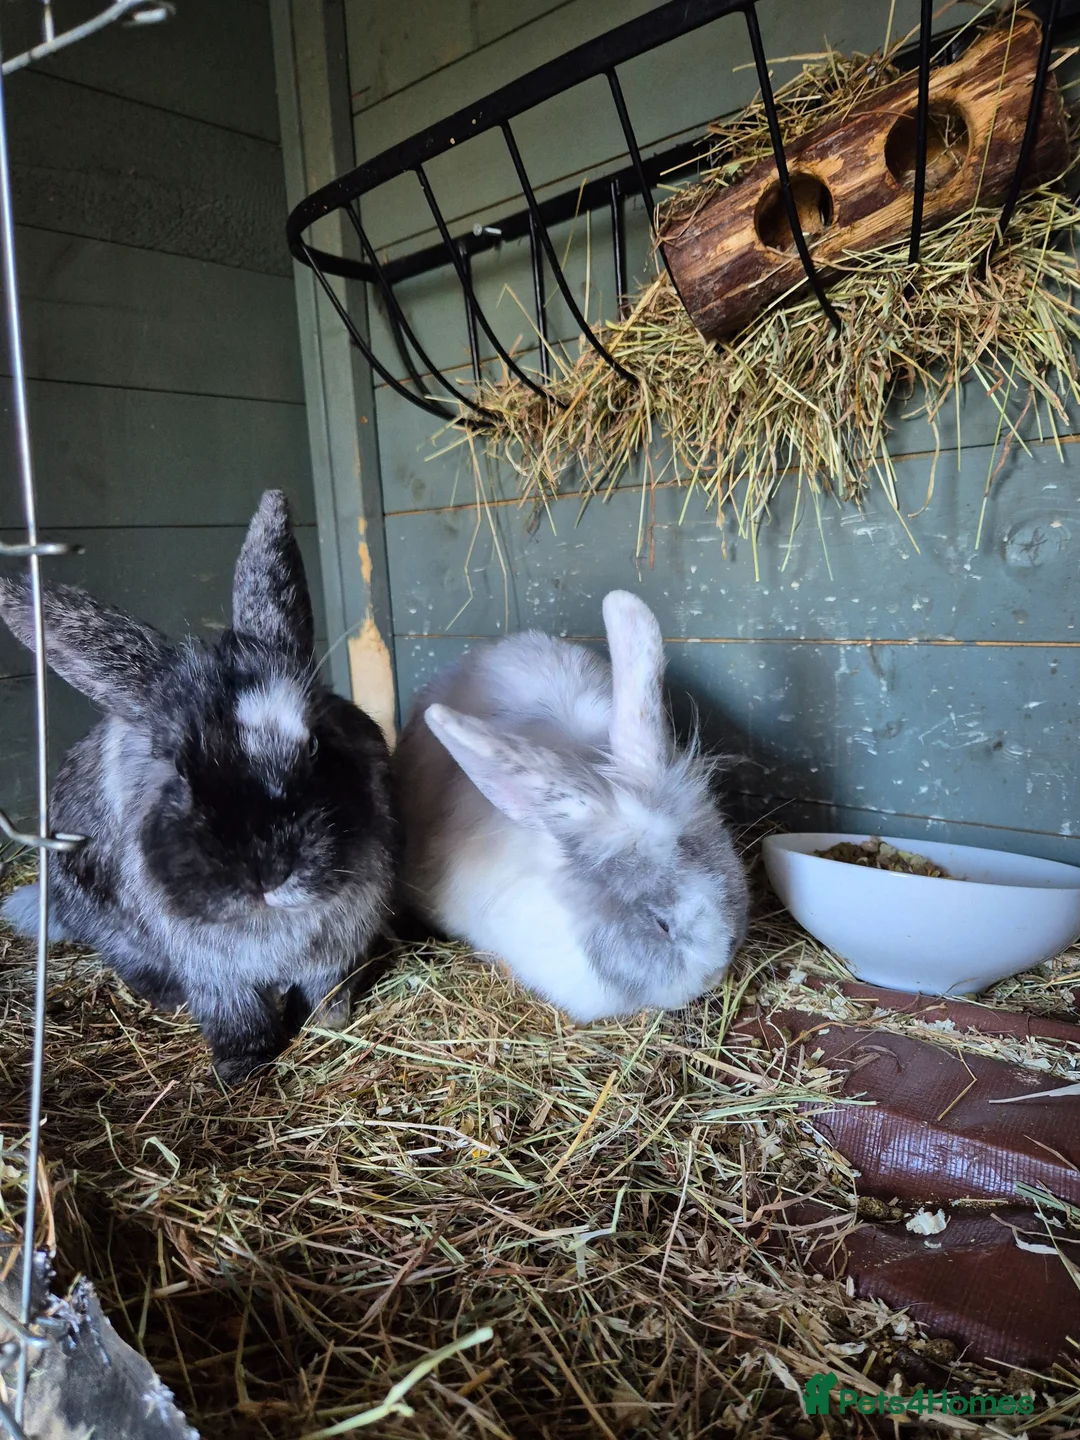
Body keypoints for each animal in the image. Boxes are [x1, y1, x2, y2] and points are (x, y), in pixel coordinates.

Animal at [0, 490, 397, 1083]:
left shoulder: (337, 953)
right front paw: (241, 1071)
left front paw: (329, 1026)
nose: (266, 874)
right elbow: (236, 1017)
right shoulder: (214, 973)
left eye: (315, 745)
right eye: (177, 768)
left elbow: (327, 995)